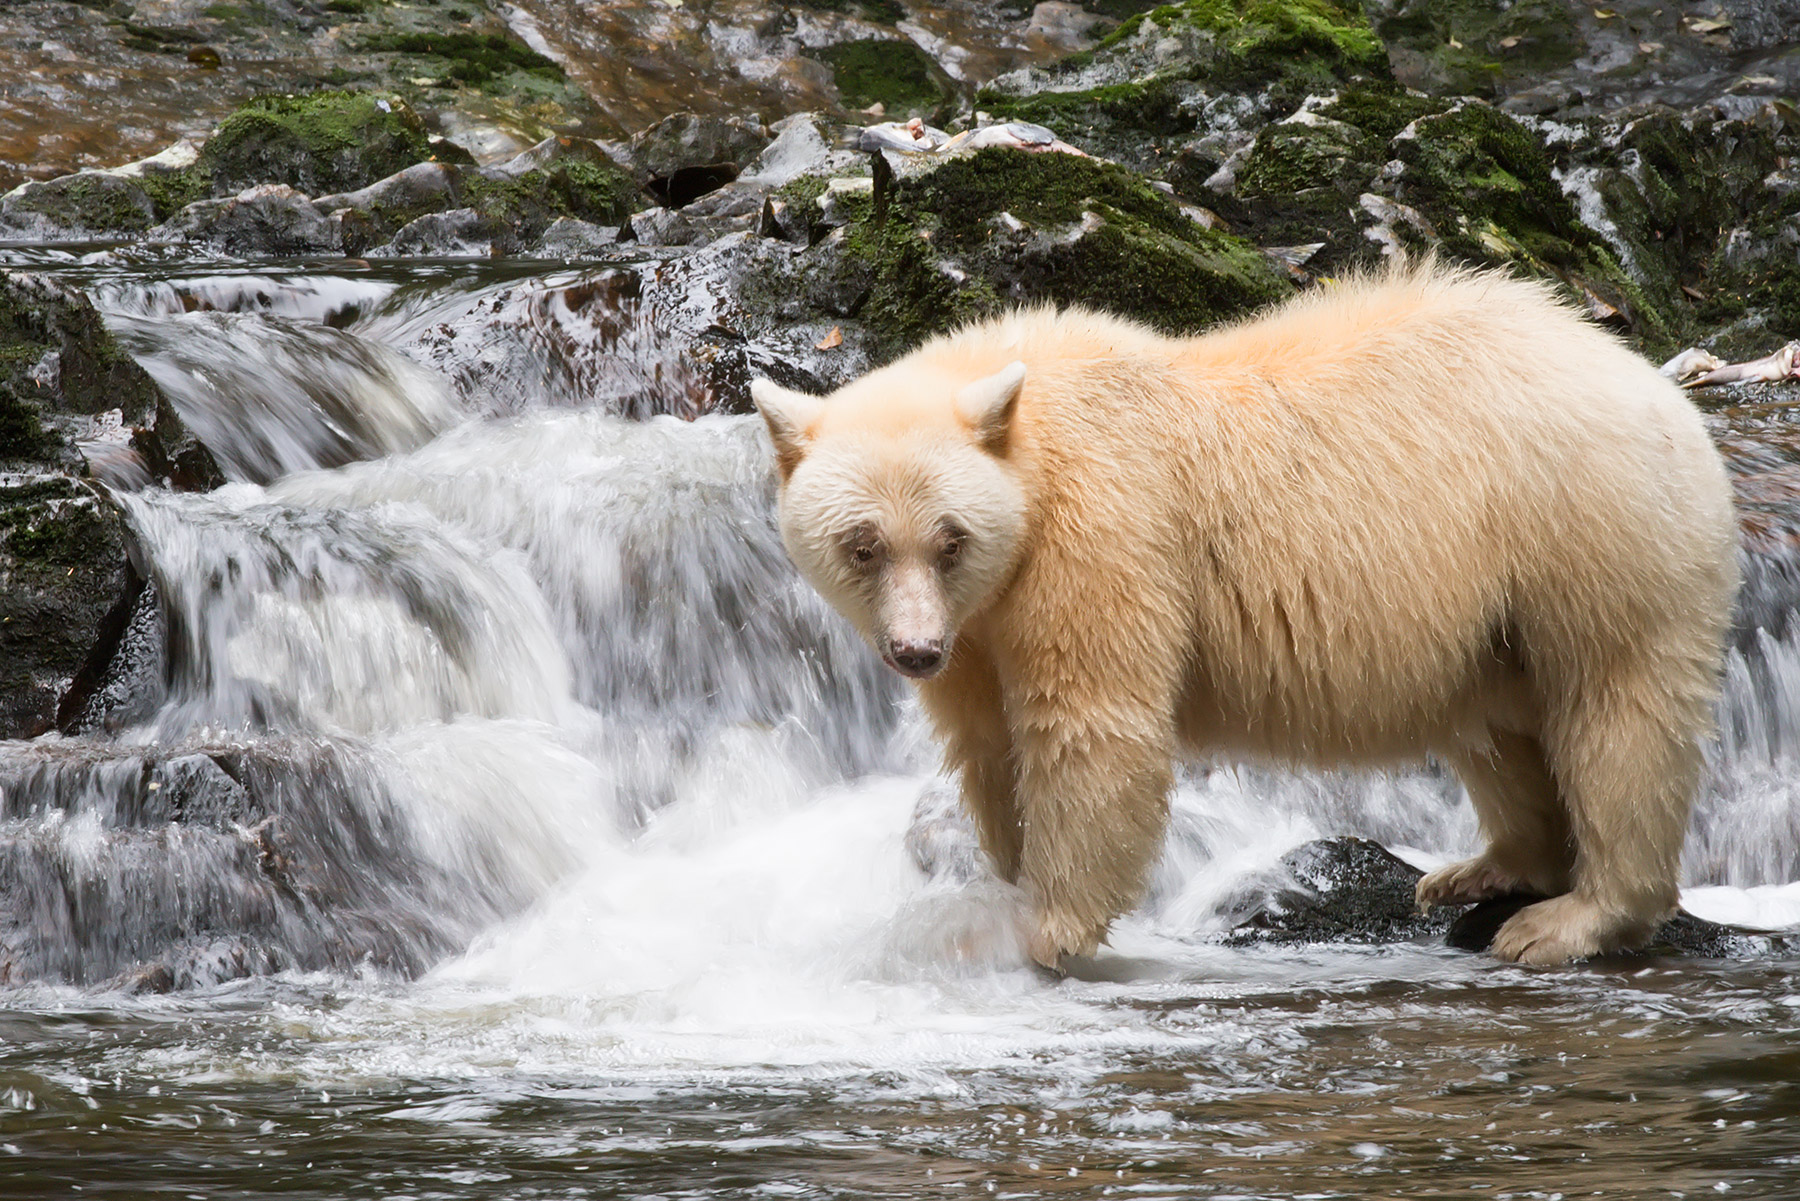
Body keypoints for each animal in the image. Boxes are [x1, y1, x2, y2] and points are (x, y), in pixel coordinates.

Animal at [750, 259, 1739, 968]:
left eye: (950, 537)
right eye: (862, 544)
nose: (914, 649)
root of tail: (1663, 389)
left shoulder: (1101, 537)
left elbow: (1091, 725)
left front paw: (1045, 929)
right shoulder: (981, 627)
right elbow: (987, 742)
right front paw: (1001, 875)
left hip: (1589, 526)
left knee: (1616, 709)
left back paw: (1569, 918)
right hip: (1501, 595)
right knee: (1499, 721)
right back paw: (1483, 866)